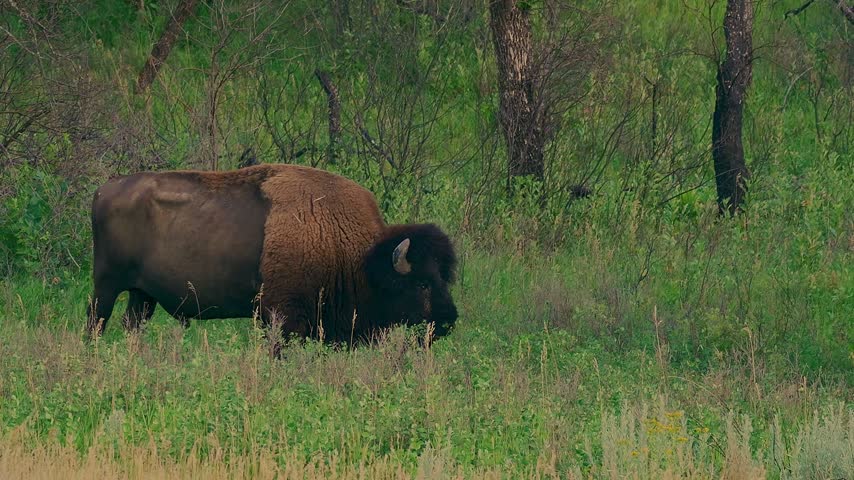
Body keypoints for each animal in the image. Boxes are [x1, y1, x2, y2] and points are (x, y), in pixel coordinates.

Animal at [86, 164, 458, 344]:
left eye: (445, 278)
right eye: (422, 283)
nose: (449, 320)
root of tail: (104, 189)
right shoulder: (282, 316)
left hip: (142, 294)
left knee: (132, 324)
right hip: (106, 285)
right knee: (96, 321)